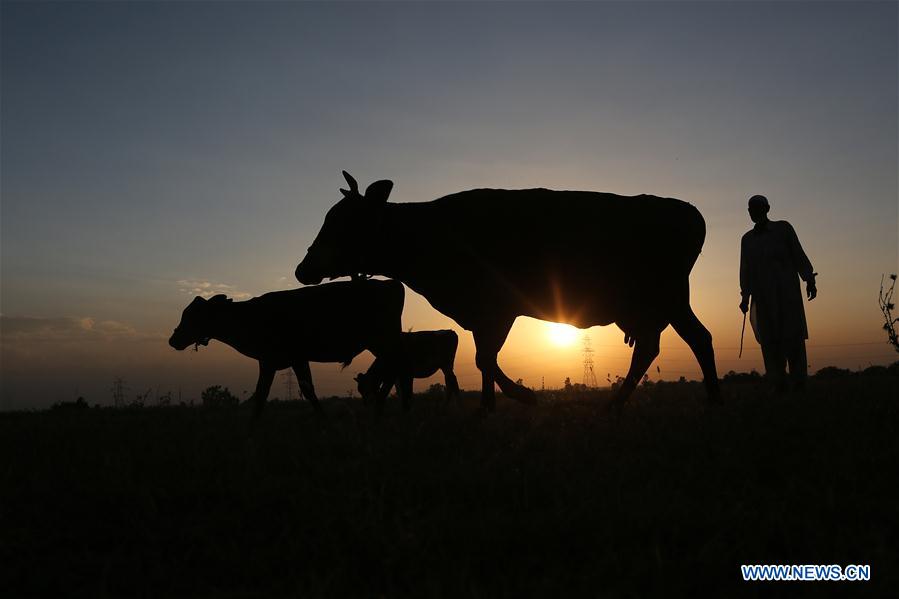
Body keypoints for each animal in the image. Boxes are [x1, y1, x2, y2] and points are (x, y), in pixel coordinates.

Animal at [168, 278, 404, 414]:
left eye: (192, 315)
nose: (173, 339)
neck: (249, 317)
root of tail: (392, 283)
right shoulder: (276, 361)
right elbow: (265, 395)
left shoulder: (287, 358)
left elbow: (300, 392)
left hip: (383, 341)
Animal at [296, 170, 724, 412]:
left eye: (343, 221)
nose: (302, 269)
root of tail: (686, 210)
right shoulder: (481, 316)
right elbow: (485, 360)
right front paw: (489, 406)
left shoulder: (497, 309)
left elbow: (485, 359)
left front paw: (520, 397)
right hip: (661, 303)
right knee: (673, 344)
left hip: (665, 297)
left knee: (688, 341)